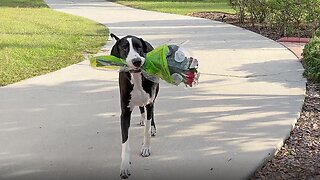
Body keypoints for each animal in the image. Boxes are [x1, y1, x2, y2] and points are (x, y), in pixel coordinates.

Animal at [110, 33, 159, 179]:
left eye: (139, 47)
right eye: (124, 48)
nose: (137, 61)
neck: (137, 77)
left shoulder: (149, 102)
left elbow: (147, 129)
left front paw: (146, 148)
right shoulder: (125, 113)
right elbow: (125, 142)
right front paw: (125, 166)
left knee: (151, 112)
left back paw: (152, 127)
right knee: (140, 107)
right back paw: (142, 119)